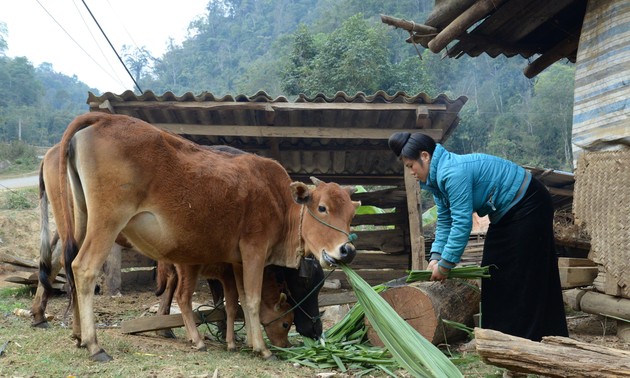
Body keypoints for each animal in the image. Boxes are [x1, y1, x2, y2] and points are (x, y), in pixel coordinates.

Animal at [48, 112, 360, 360]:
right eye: (322, 208)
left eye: (350, 216)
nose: (346, 250)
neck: (281, 204)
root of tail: (103, 118)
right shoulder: (254, 250)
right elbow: (252, 299)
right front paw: (262, 348)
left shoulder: (236, 262)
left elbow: (238, 300)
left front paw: (244, 341)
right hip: (107, 221)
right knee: (83, 268)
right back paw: (94, 345)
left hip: (80, 221)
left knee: (70, 267)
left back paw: (78, 335)